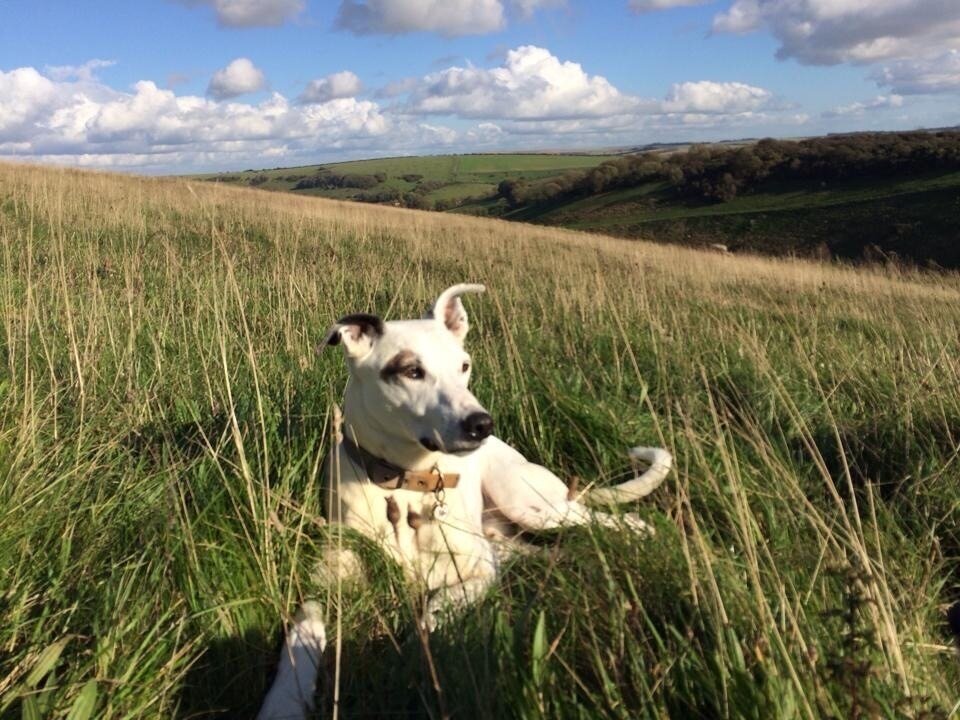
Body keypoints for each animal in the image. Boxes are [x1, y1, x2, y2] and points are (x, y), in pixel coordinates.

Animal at [258, 284, 672, 716]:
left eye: (464, 366)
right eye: (411, 371)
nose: (482, 425)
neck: (406, 484)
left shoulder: (479, 571)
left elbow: (435, 611)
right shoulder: (326, 580)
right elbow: (303, 631)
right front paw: (284, 702)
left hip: (531, 505)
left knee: (623, 522)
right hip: (516, 537)